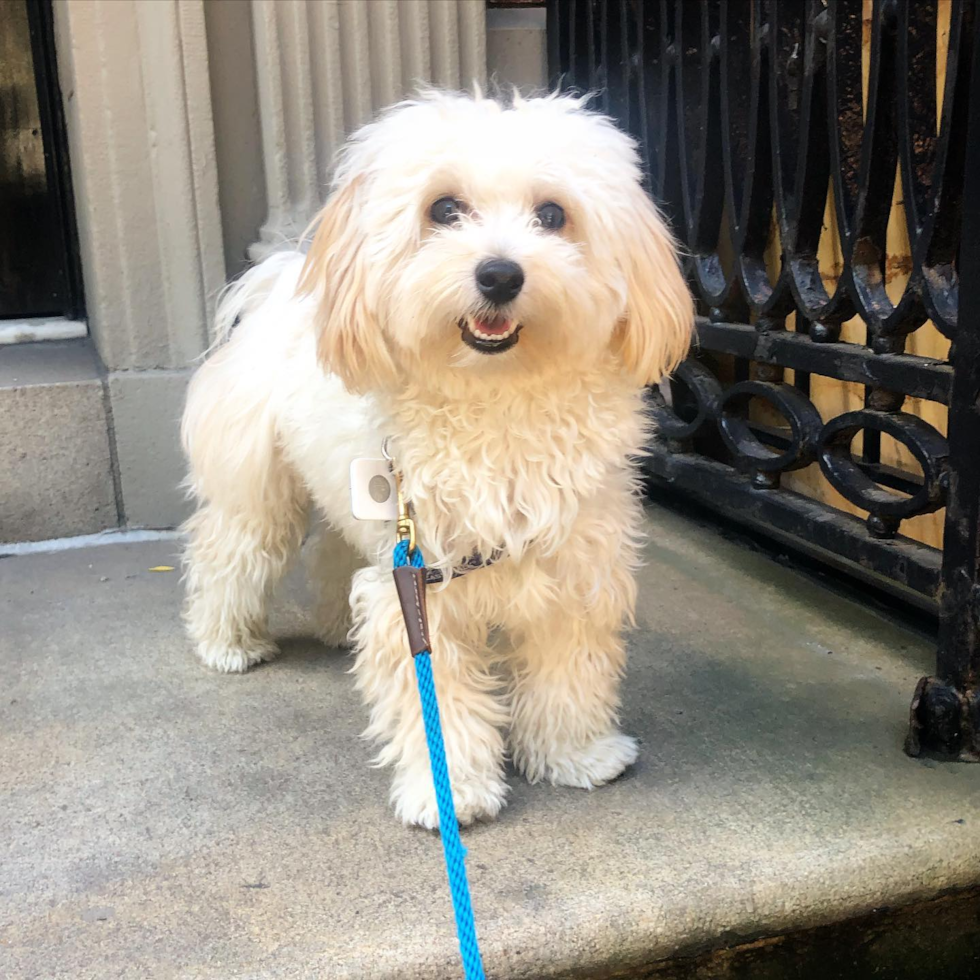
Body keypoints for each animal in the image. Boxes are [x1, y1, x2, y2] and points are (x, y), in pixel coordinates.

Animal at [180, 90, 692, 828]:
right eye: (444, 209)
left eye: (553, 215)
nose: (500, 274)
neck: (499, 403)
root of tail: (283, 287)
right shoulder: (423, 592)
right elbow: (437, 702)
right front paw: (451, 793)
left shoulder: (574, 568)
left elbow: (569, 670)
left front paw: (575, 755)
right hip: (260, 492)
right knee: (232, 553)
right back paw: (227, 642)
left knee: (333, 552)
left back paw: (334, 627)